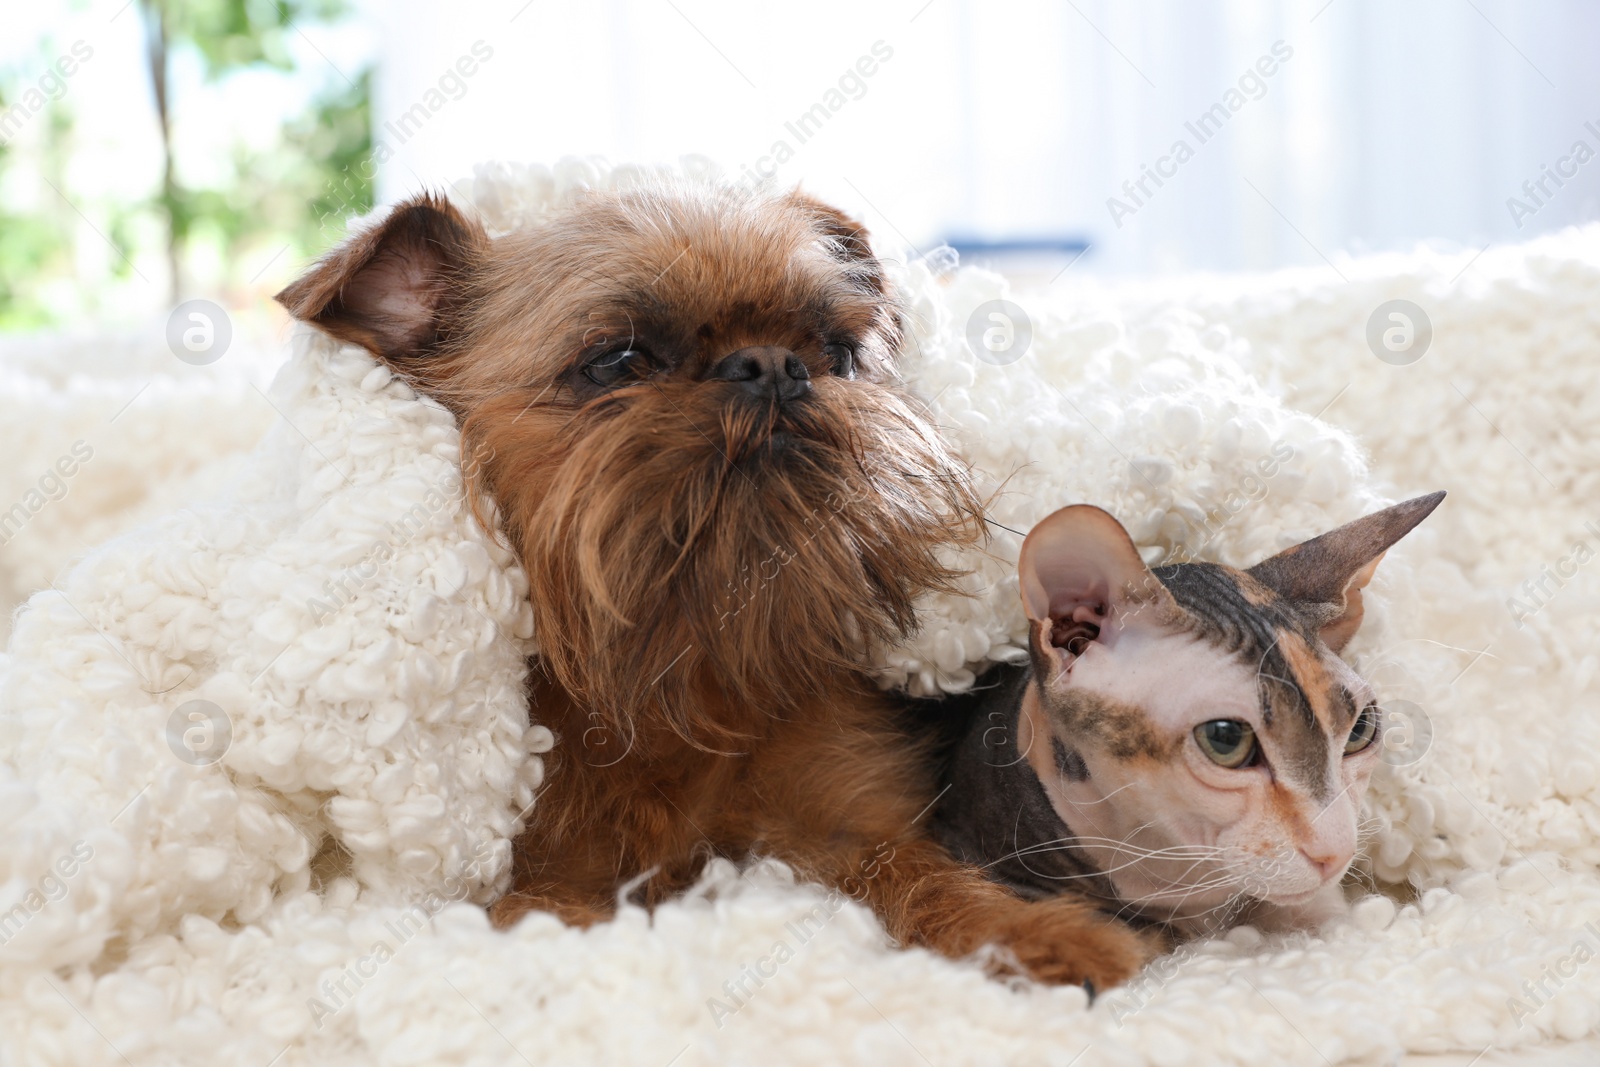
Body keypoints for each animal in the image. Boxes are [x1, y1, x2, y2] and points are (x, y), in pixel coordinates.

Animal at [272, 179, 1152, 991]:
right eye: (618, 361)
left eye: (838, 353)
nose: (773, 366)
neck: (680, 677)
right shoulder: (534, 873)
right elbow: (542, 911)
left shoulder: (843, 826)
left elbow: (917, 872)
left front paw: (1032, 934)